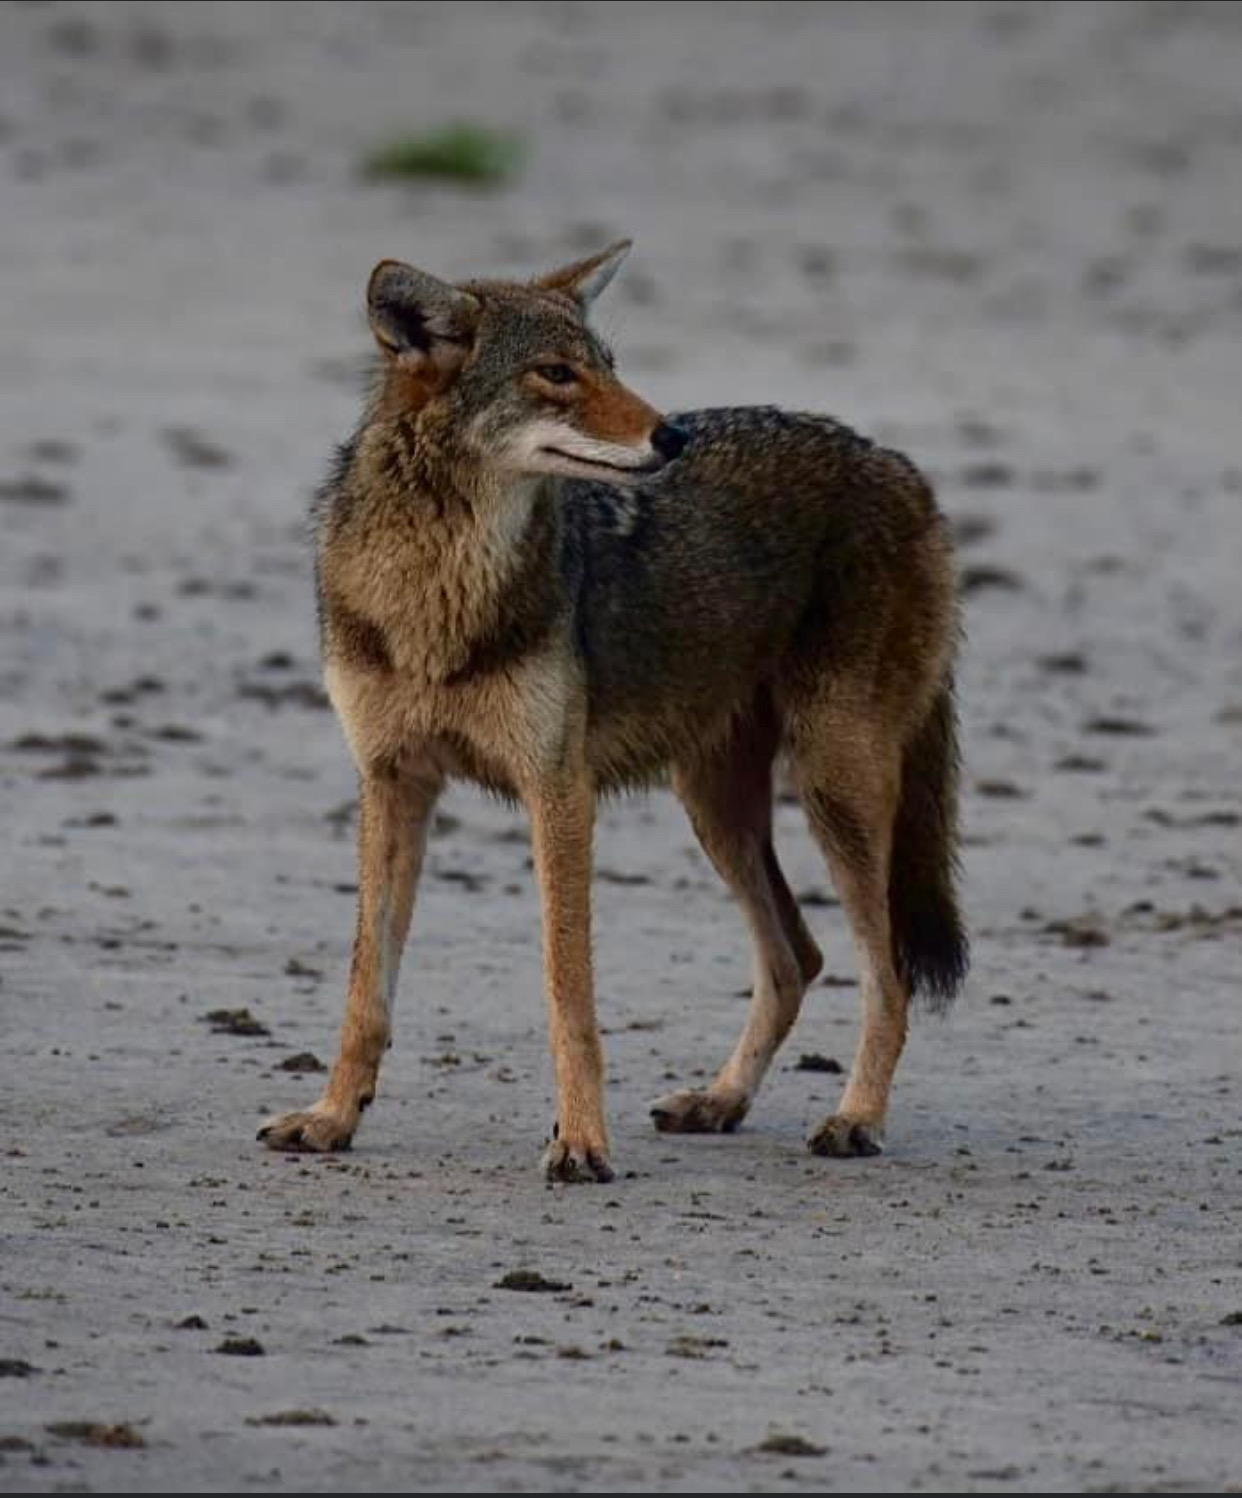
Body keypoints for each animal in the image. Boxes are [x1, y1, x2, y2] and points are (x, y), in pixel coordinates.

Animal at [258, 239, 967, 1183]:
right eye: (557, 374)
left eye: (609, 366)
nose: (671, 435)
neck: (437, 589)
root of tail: (899, 464)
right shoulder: (391, 781)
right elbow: (365, 987)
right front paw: (333, 1117)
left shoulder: (558, 790)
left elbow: (569, 992)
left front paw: (582, 1141)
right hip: (717, 808)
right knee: (797, 956)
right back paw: (720, 1101)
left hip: (834, 789)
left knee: (884, 969)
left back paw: (855, 1118)